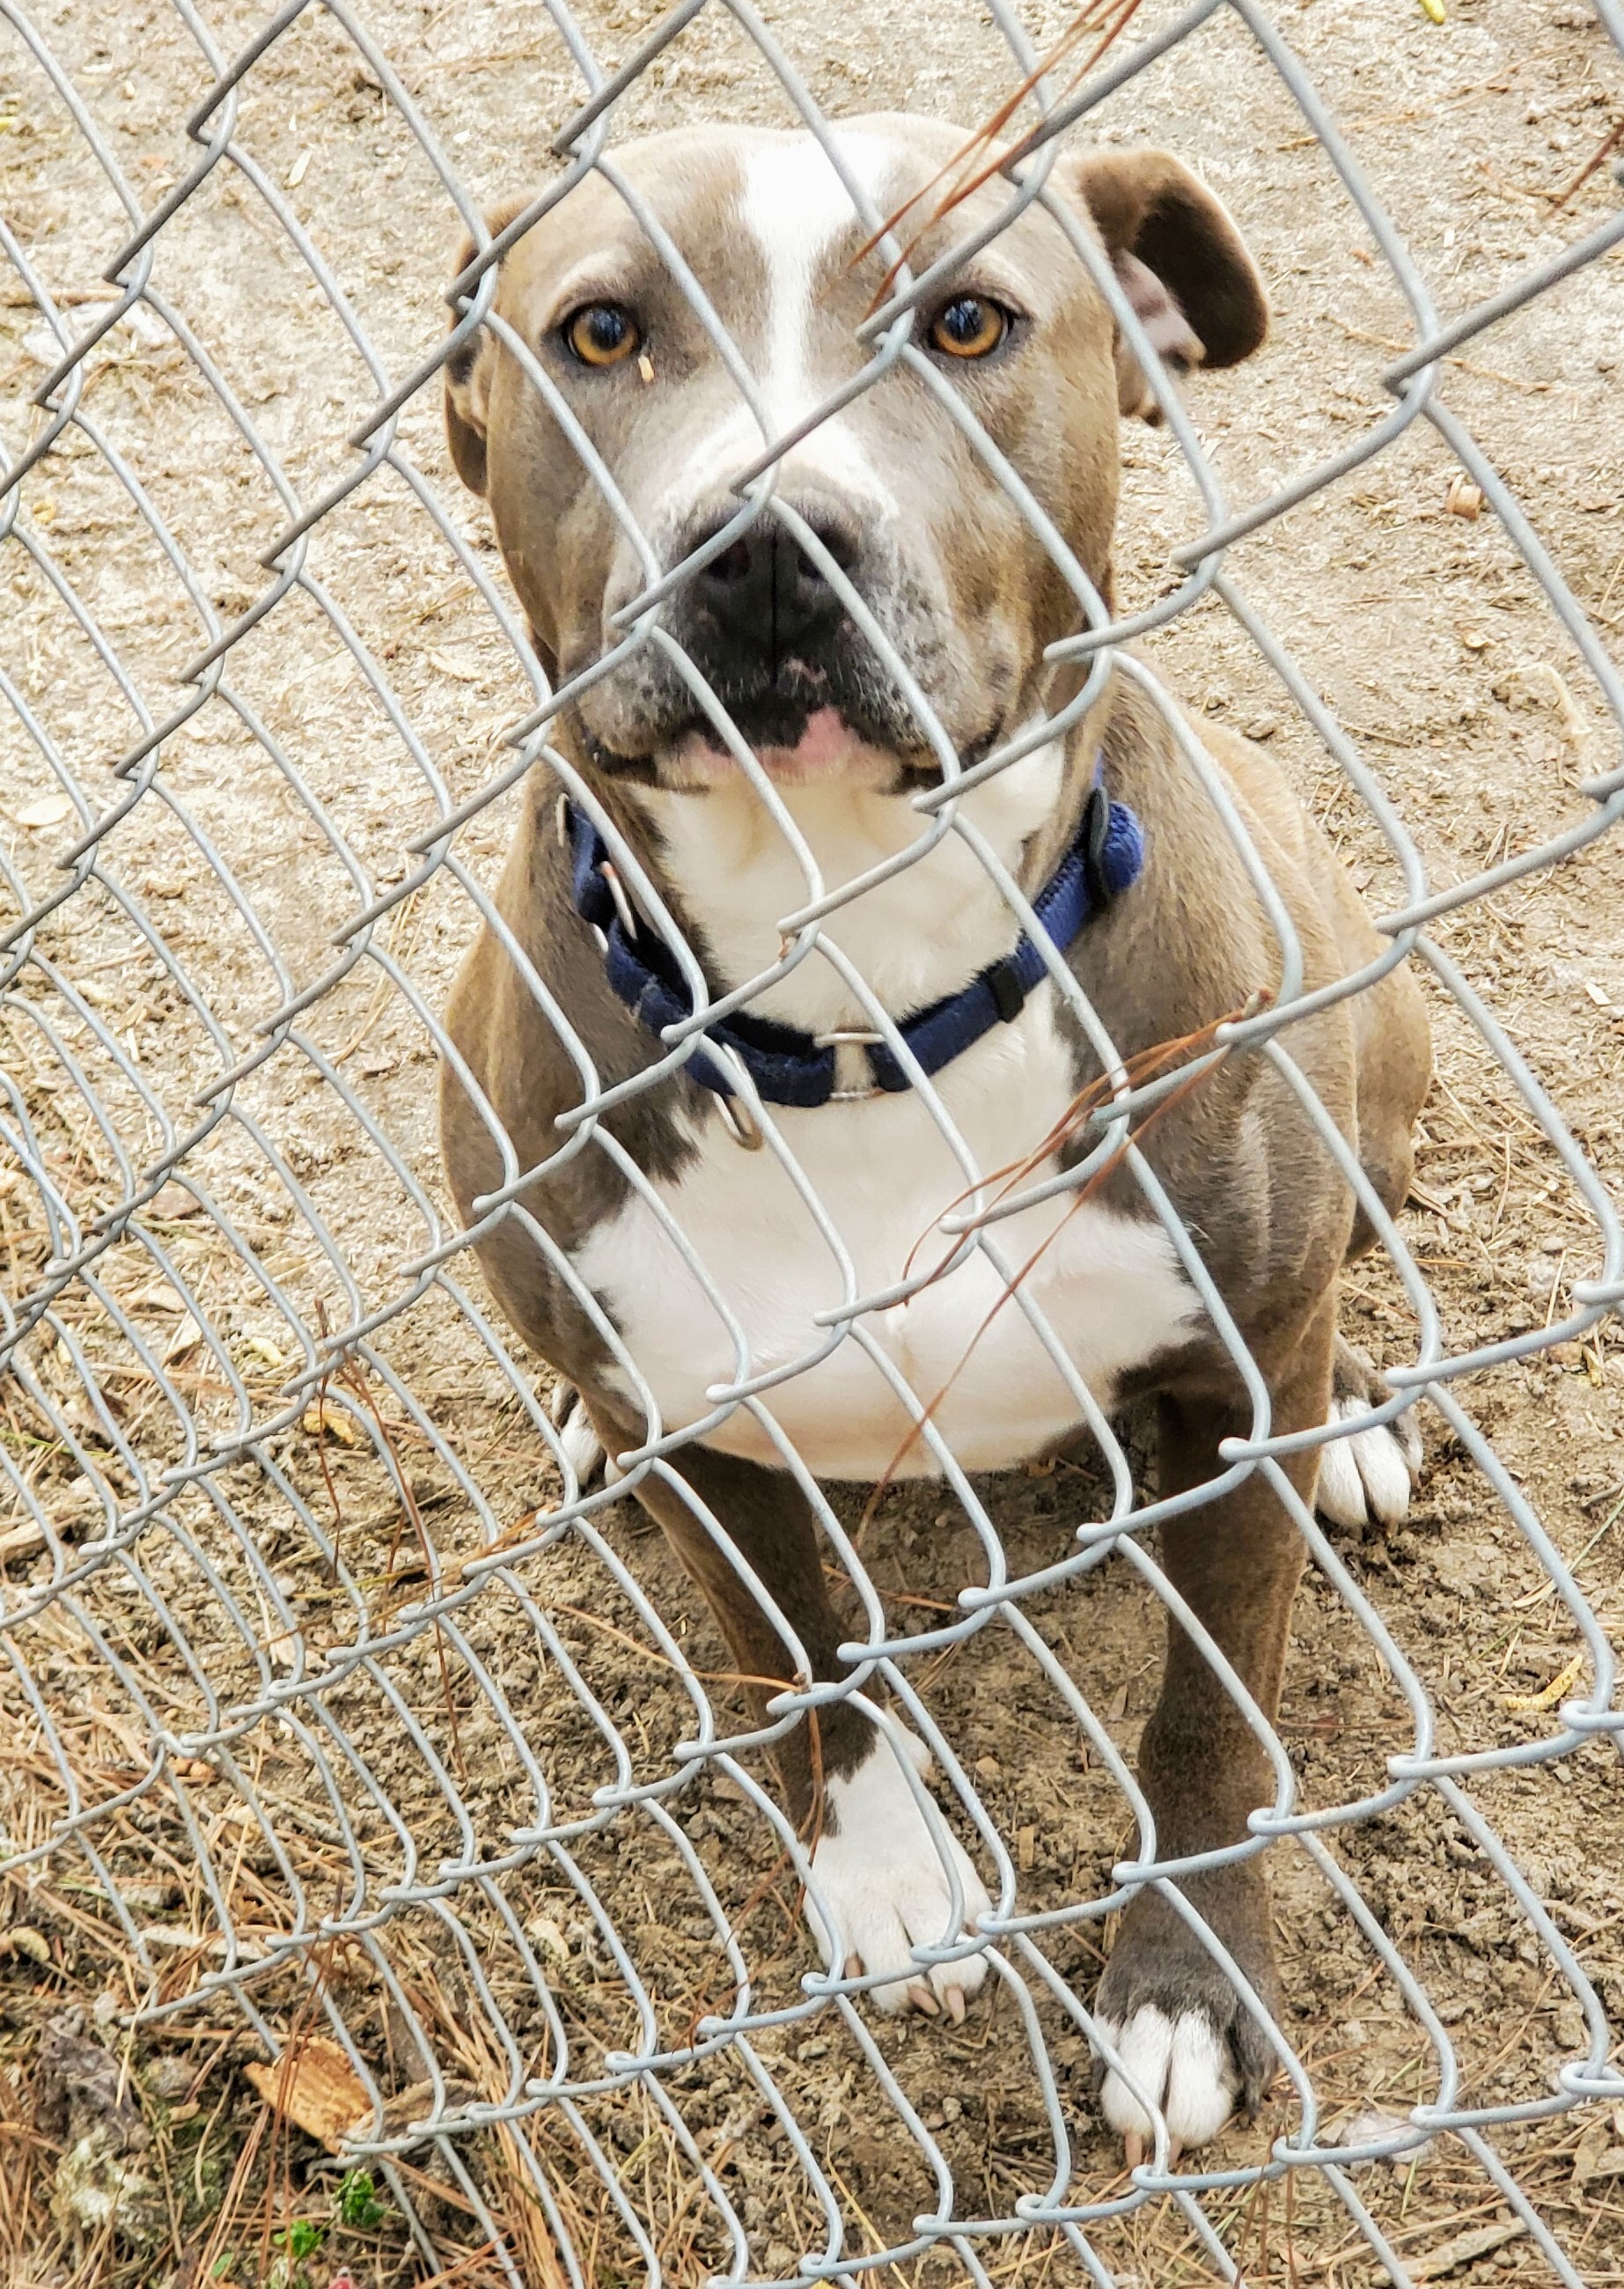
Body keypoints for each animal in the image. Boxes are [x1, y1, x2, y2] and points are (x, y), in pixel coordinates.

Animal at [437, 121, 1436, 2160]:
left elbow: (1211, 1710)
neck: (859, 1001)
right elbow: (802, 1661)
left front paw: (1183, 1985)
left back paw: (1366, 1416)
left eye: (967, 321)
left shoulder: (1232, 1380)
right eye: (600, 331)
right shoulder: (705, 1425)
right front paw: (884, 1876)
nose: (763, 546)